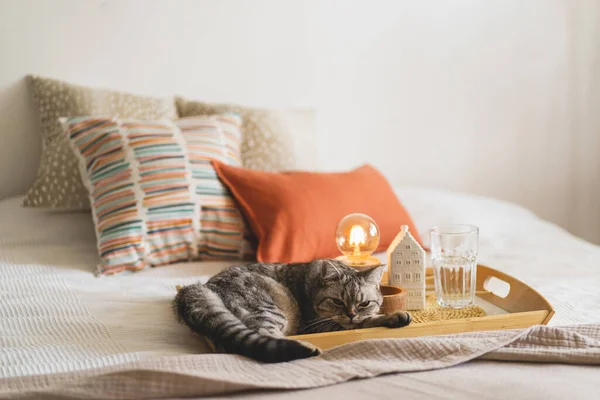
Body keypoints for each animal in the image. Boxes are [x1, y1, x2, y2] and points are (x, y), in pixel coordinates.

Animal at [171, 258, 410, 364]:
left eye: (363, 303)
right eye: (337, 302)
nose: (351, 313)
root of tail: (202, 287)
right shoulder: (318, 325)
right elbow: (363, 323)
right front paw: (393, 316)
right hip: (269, 310)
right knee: (264, 334)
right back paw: (304, 347)